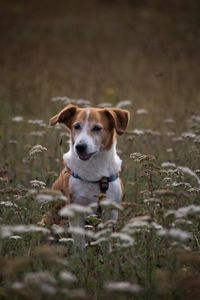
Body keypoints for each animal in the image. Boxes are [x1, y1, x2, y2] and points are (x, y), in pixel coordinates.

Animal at [42, 103, 129, 248]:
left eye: (97, 128)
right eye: (76, 126)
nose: (80, 146)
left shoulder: (111, 211)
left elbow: (106, 243)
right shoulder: (75, 211)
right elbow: (80, 243)